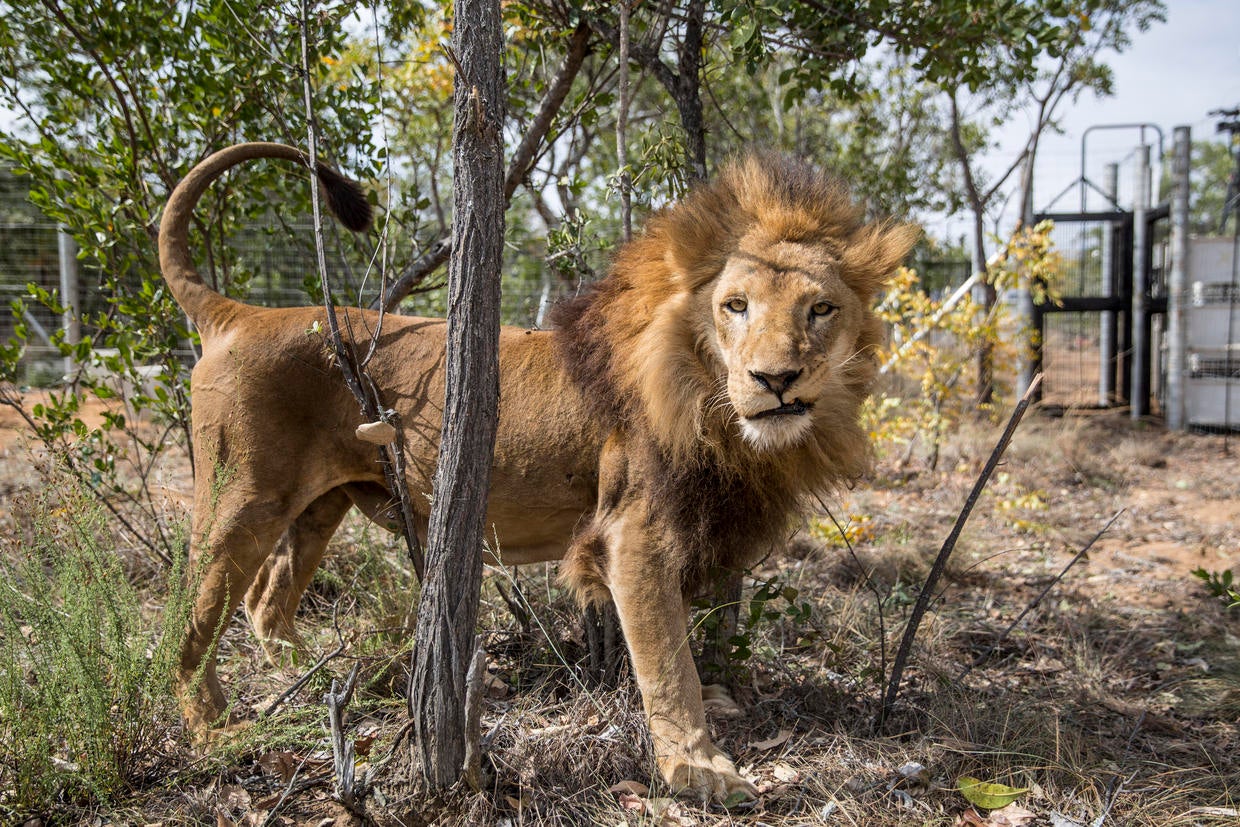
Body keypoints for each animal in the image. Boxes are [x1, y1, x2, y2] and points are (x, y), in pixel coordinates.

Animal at [159, 142, 917, 801]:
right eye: (735, 306)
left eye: (820, 309)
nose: (776, 378)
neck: (707, 398)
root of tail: (238, 315)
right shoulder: (633, 533)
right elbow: (667, 658)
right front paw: (699, 769)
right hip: (241, 499)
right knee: (187, 621)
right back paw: (216, 728)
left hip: (323, 504)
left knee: (266, 603)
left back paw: (318, 682)